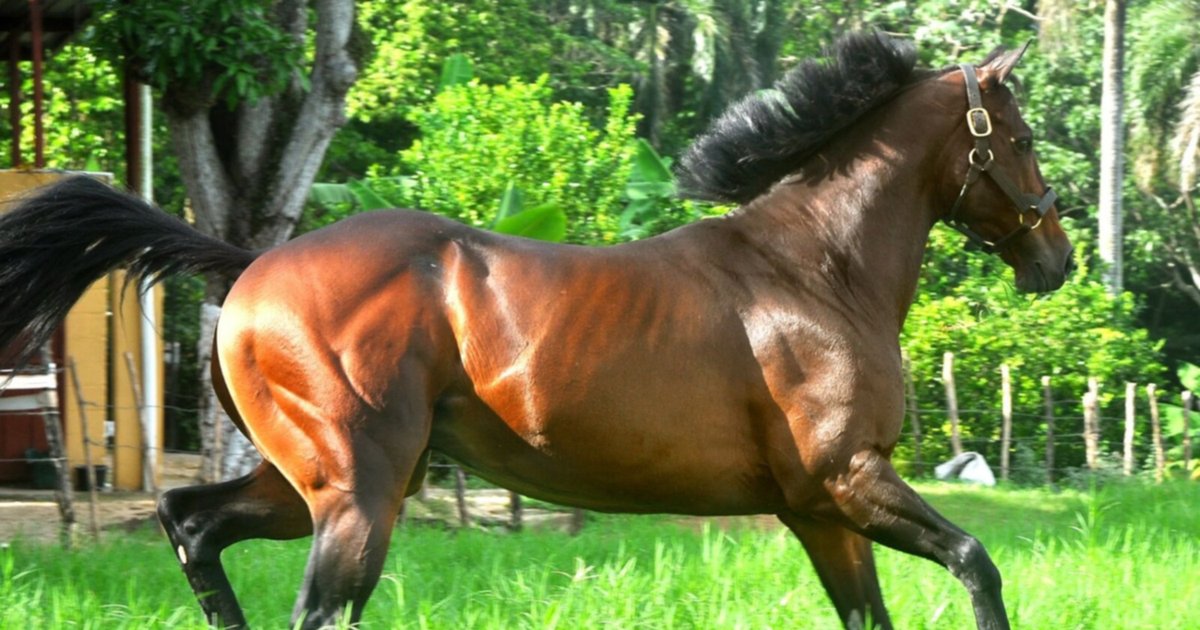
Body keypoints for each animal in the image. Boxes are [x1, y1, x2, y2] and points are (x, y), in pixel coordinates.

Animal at [0, 34, 1070, 628]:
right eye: (1019, 139)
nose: (1056, 258)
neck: (813, 270)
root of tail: (251, 267)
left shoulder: (818, 511)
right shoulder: (850, 480)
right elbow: (978, 564)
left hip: (316, 482)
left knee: (192, 523)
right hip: (358, 496)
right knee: (312, 604)